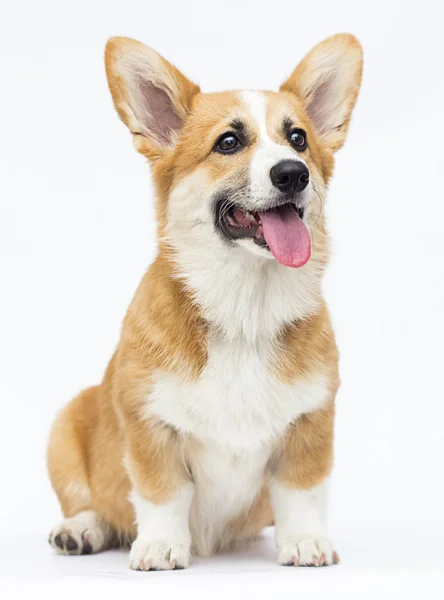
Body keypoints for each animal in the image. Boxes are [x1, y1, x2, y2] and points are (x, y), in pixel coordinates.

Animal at [46, 34, 362, 572]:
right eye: (228, 142)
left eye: (298, 139)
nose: (293, 173)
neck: (245, 308)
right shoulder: (149, 424)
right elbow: (163, 493)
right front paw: (159, 546)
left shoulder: (312, 421)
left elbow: (299, 490)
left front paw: (304, 541)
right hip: (65, 425)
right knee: (90, 502)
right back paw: (81, 530)